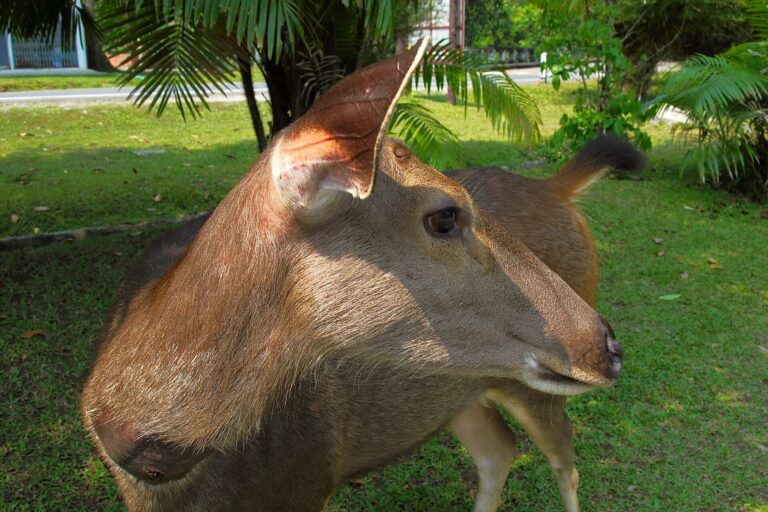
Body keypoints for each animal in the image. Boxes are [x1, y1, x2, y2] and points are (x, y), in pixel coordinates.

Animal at [80, 38, 626, 512]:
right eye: (445, 217)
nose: (610, 346)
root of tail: (559, 192)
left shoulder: (308, 481)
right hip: (460, 390)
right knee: (500, 450)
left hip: (529, 388)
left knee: (563, 456)